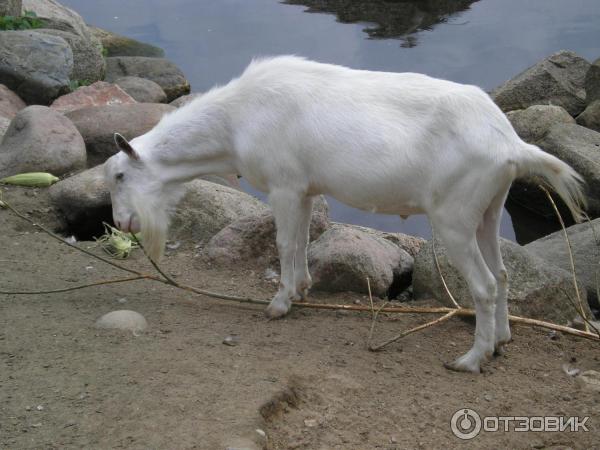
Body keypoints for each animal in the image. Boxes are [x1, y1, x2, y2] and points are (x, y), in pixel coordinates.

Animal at [104, 56, 584, 372]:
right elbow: (300, 240)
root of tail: (510, 143)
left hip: (454, 215)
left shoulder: (284, 185)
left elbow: (284, 242)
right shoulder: (304, 188)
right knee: (502, 275)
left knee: (483, 284)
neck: (236, 120)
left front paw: (278, 303)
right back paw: (501, 340)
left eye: (120, 176)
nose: (122, 224)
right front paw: (301, 289)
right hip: (489, 207)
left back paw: (471, 358)